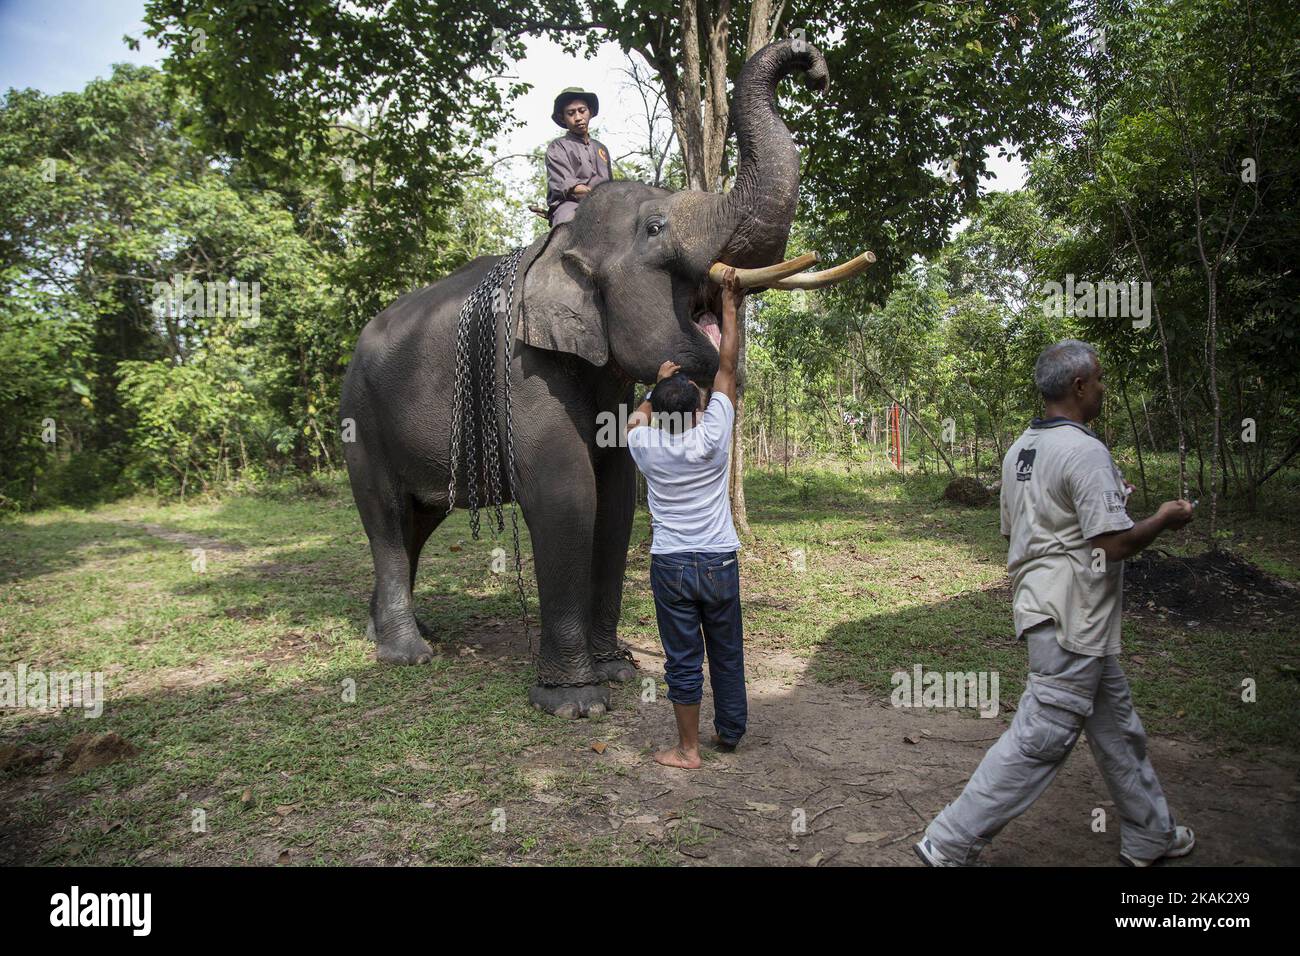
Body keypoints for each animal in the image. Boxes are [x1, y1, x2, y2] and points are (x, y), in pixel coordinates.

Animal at [335, 39, 842, 717]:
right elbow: (568, 492)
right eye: (655, 229)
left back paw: (408, 632)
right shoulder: (525, 368)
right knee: (387, 519)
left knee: (418, 521)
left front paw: (618, 671)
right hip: (360, 420)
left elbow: (617, 492)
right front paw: (575, 703)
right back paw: (408, 653)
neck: (561, 245)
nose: (812, 63)